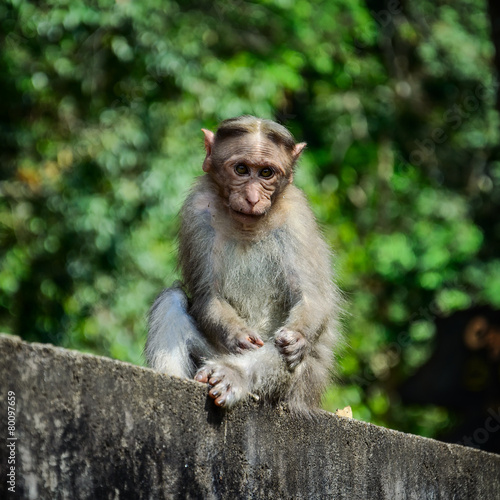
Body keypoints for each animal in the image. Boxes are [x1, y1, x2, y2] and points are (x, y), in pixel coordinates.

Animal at [145, 116, 340, 410]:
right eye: (241, 169)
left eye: (266, 173)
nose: (252, 198)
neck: (248, 225)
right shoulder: (197, 209)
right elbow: (208, 297)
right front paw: (238, 335)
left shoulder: (297, 217)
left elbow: (310, 300)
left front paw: (297, 338)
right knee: (171, 300)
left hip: (300, 388)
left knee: (283, 350)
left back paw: (233, 374)